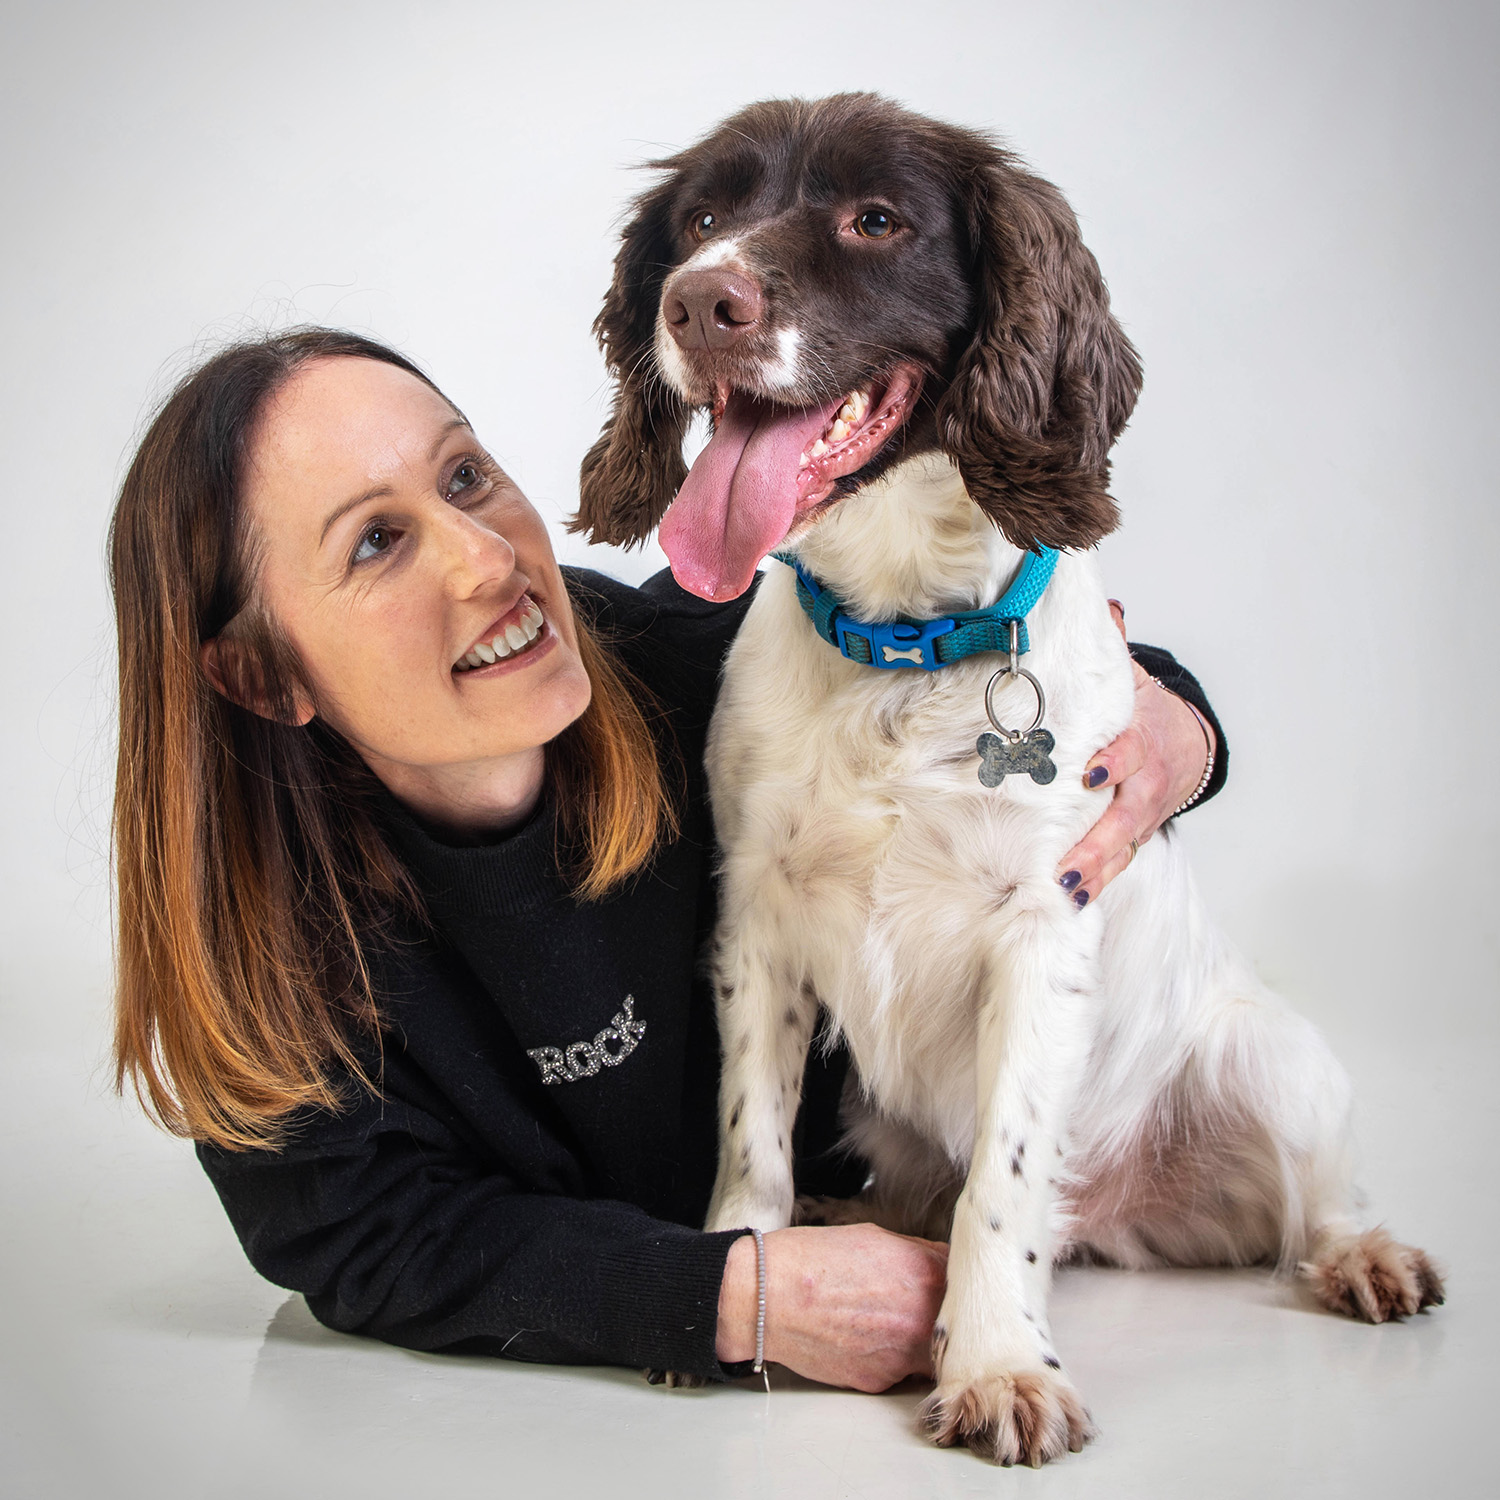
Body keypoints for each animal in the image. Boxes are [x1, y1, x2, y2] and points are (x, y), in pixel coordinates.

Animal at [573, 93, 1443, 1466]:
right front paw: (746, 1270)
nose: (699, 300)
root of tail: (1118, 1217)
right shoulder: (756, 918)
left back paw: (1367, 1256)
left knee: (1316, 1201)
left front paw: (997, 1365)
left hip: (1278, 1062)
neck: (903, 642)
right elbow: (752, 1138)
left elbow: (1006, 1181)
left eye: (877, 220)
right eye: (702, 218)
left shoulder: (1042, 927)